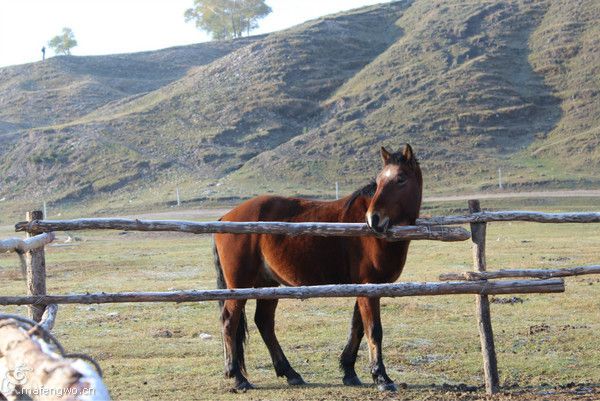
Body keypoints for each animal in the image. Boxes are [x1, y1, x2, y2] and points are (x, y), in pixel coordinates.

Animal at [213, 145, 424, 390]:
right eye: (380, 180)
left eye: (400, 179)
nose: (374, 219)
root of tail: (225, 218)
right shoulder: (370, 288)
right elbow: (373, 330)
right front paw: (381, 377)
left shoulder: (362, 288)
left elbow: (357, 328)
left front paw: (349, 371)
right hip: (239, 285)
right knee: (229, 321)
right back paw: (238, 377)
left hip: (268, 284)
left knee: (264, 323)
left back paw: (290, 373)